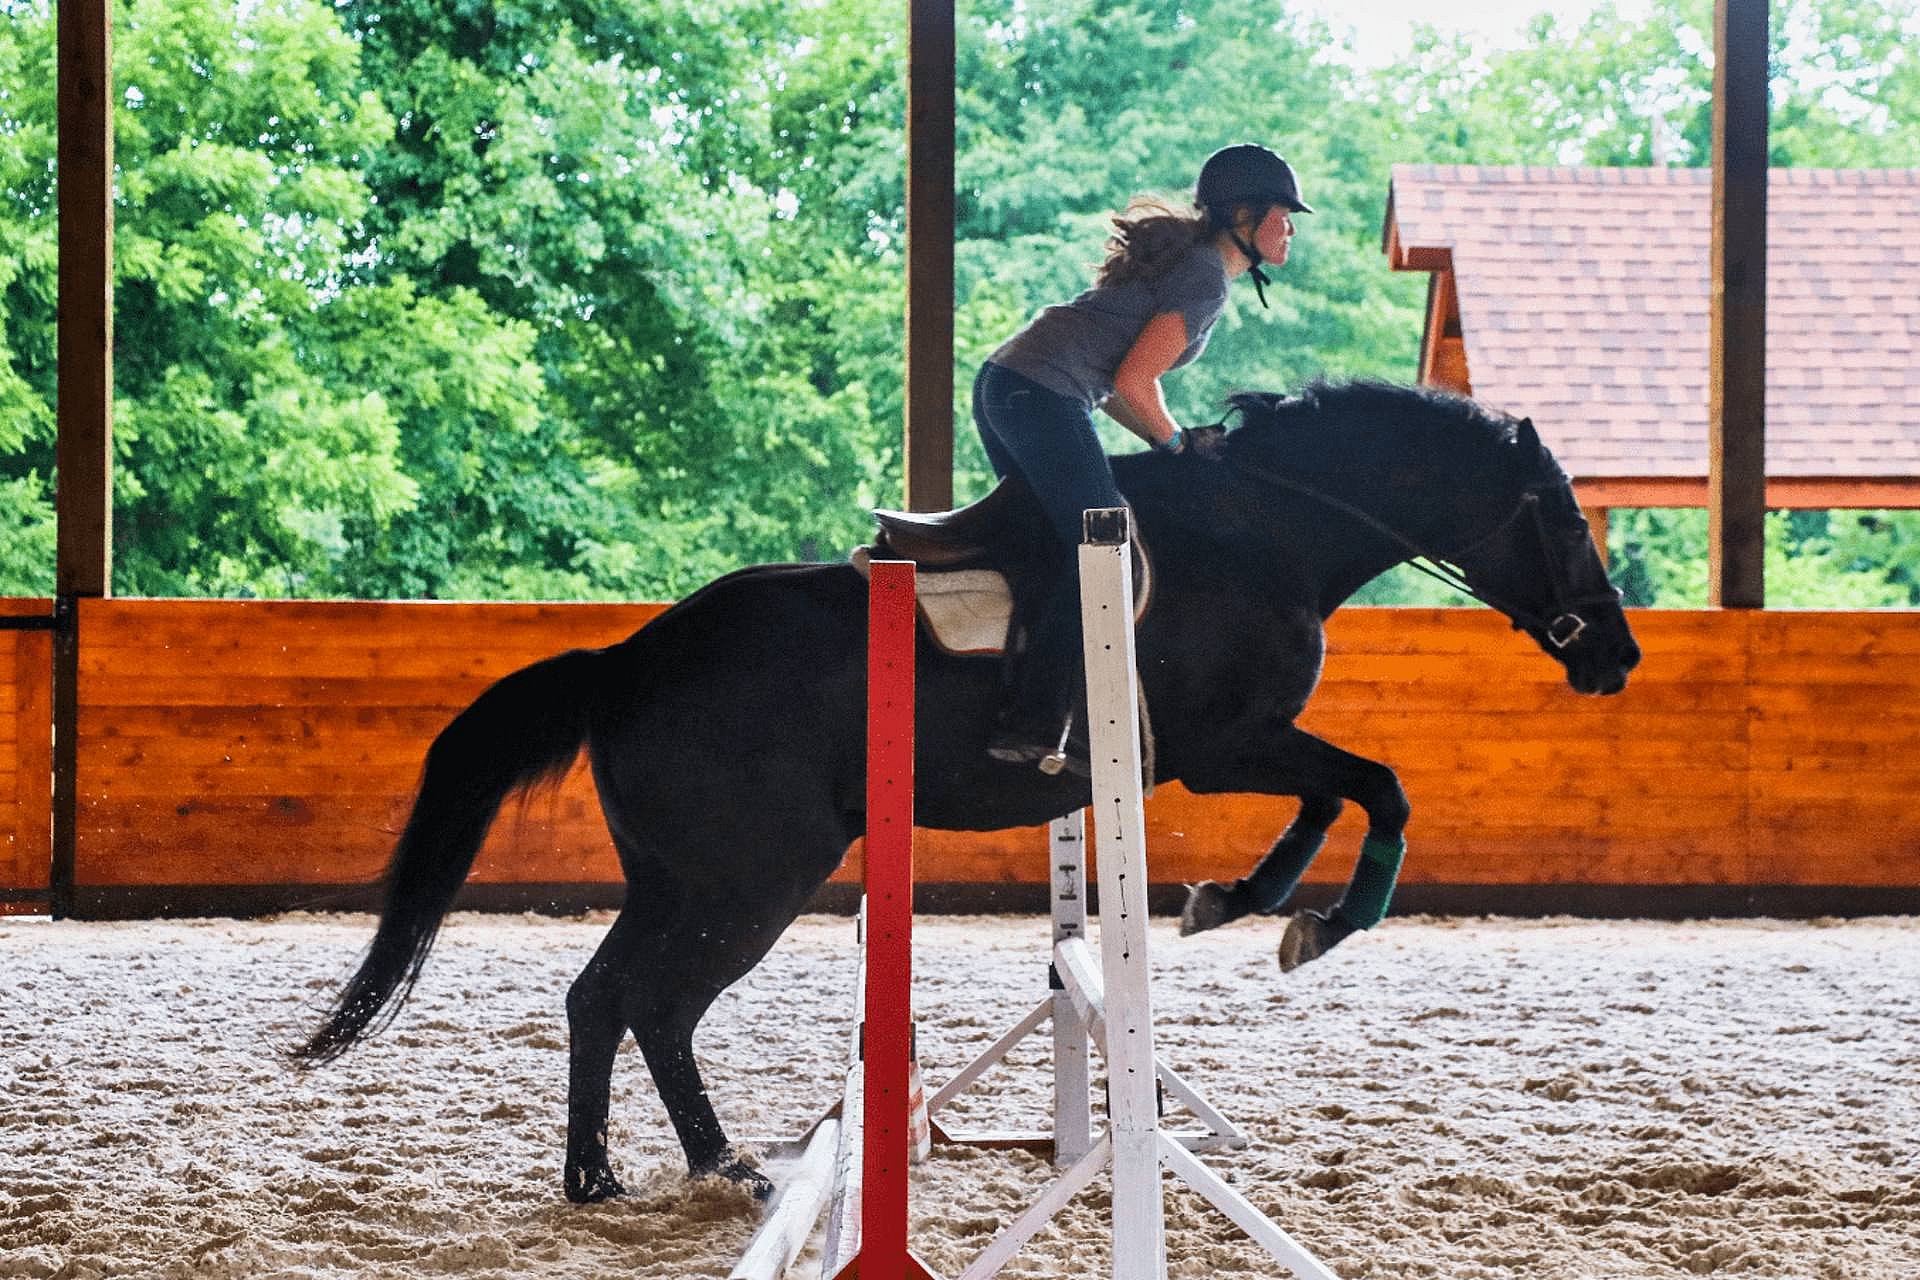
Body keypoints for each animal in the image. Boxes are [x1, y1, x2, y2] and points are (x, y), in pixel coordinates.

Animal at [292, 380, 1641, 1203]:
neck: (1267, 526)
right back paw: (711, 1164)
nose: (1617, 655)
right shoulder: (1226, 742)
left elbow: (1333, 797)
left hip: (684, 876)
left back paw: (618, 1172)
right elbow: (1376, 789)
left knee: (603, 996)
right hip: (751, 878)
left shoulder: (1229, 749)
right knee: (654, 1002)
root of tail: (628, 656)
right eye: (1566, 516)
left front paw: (1238, 899)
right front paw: (1312, 917)